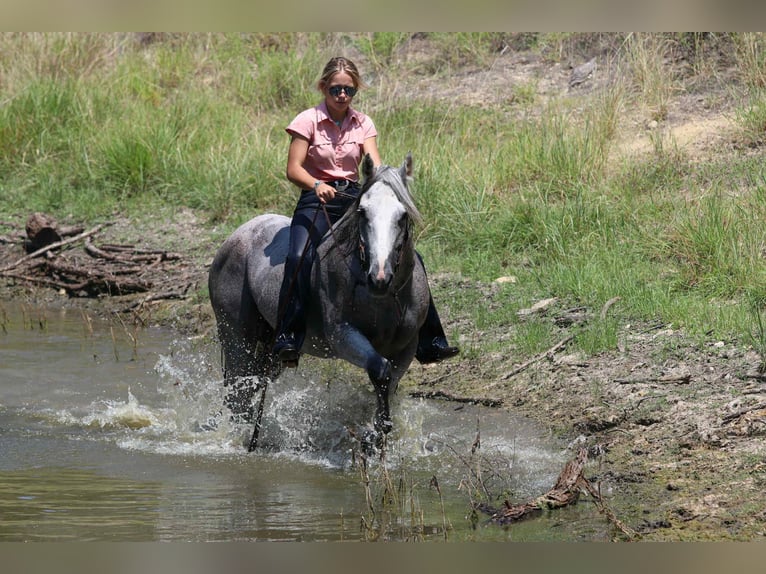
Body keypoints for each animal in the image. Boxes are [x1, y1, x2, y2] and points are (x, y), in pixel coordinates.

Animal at [208, 153, 430, 451]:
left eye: (402, 215)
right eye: (363, 212)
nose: (379, 277)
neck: (381, 299)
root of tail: (235, 236)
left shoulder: (406, 347)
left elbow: (388, 382)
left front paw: (377, 437)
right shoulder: (343, 336)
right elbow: (379, 371)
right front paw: (372, 439)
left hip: (268, 351)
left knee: (253, 387)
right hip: (235, 338)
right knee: (238, 393)